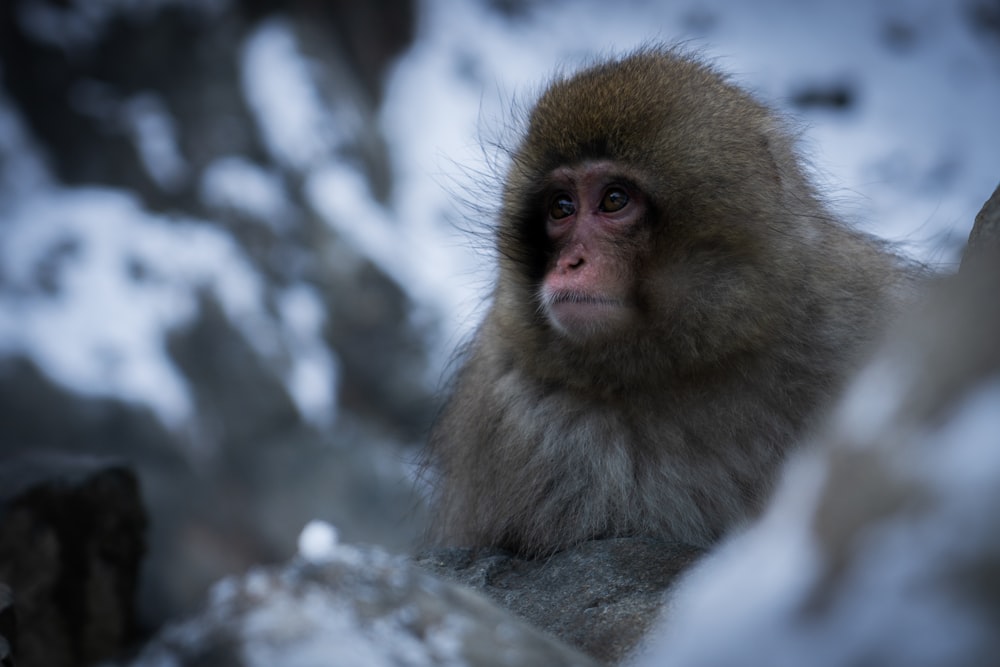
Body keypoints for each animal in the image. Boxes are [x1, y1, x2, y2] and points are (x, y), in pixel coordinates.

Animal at [422, 48, 920, 560]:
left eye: (614, 200)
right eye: (561, 207)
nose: (569, 263)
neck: (683, 365)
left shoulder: (859, 319)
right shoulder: (517, 417)